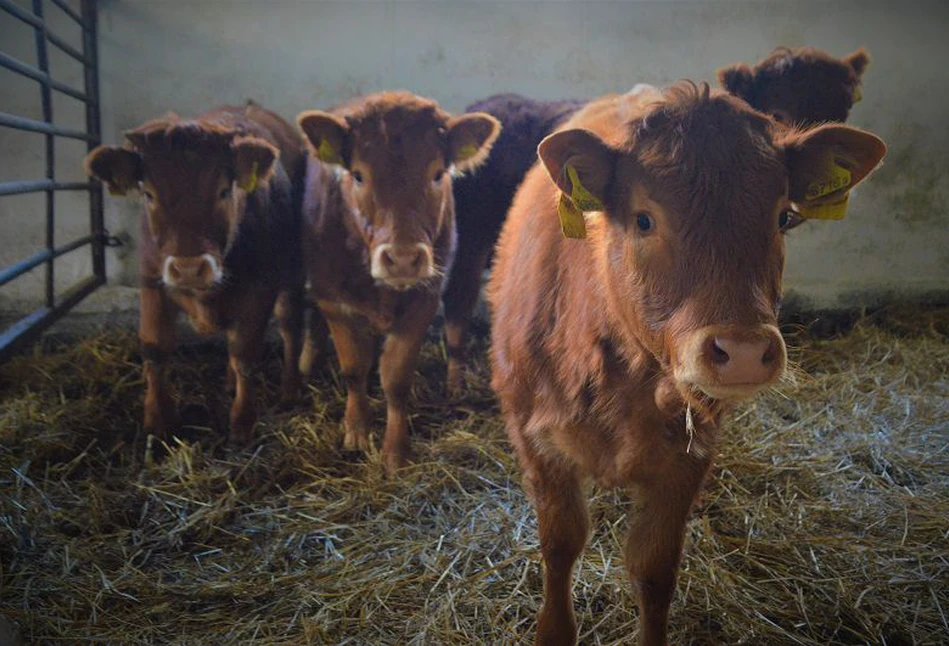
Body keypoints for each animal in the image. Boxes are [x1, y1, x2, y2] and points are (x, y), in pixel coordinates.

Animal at [86, 104, 304, 448]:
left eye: (224, 191)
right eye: (148, 194)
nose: (189, 268)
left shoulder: (261, 289)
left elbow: (245, 353)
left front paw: (243, 422)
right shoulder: (151, 281)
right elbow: (155, 349)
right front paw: (158, 421)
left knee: (290, 326)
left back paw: (291, 390)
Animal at [298, 91, 500, 474]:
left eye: (437, 174)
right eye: (358, 175)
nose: (404, 258)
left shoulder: (424, 299)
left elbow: (396, 377)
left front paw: (395, 452)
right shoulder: (333, 299)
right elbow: (354, 367)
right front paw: (357, 430)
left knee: (456, 329)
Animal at [488, 82, 888, 646]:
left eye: (782, 217)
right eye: (643, 218)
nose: (742, 351)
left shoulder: (687, 457)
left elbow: (653, 569)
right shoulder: (535, 438)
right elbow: (560, 545)